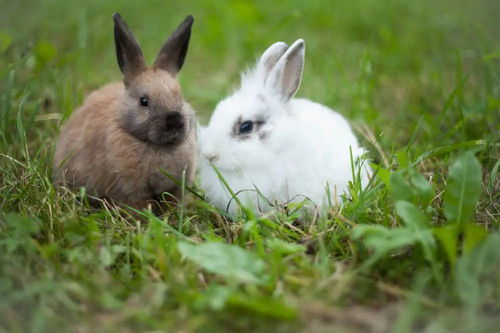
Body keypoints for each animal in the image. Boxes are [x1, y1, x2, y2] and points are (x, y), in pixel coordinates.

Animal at [53, 13, 197, 210]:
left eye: (180, 97)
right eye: (144, 101)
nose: (174, 121)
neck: (157, 147)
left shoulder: (176, 188)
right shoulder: (131, 190)